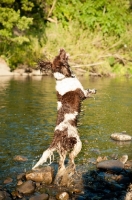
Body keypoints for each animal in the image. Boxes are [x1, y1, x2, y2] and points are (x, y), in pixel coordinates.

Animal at [32, 48, 96, 183]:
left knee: (62, 166)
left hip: (62, 151)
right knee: (71, 160)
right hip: (76, 143)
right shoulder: (82, 94)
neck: (63, 78)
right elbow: (87, 92)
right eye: (61, 56)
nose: (61, 48)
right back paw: (71, 172)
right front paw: (93, 91)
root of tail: (57, 137)